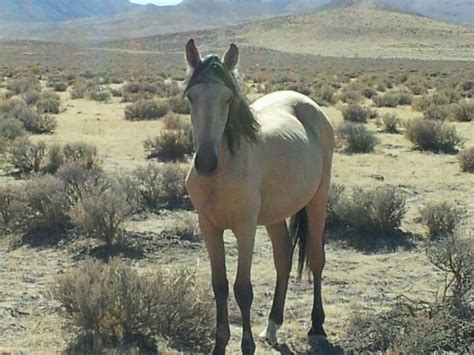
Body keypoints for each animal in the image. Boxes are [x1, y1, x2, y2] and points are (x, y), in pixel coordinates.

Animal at [183, 40, 336, 354]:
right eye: (191, 97)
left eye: (228, 99)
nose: (205, 162)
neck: (222, 172)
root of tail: (308, 104)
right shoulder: (208, 227)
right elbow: (219, 284)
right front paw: (219, 345)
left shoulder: (245, 228)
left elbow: (242, 289)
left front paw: (247, 346)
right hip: (275, 215)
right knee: (284, 257)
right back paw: (273, 325)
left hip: (317, 201)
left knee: (316, 259)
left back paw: (316, 326)